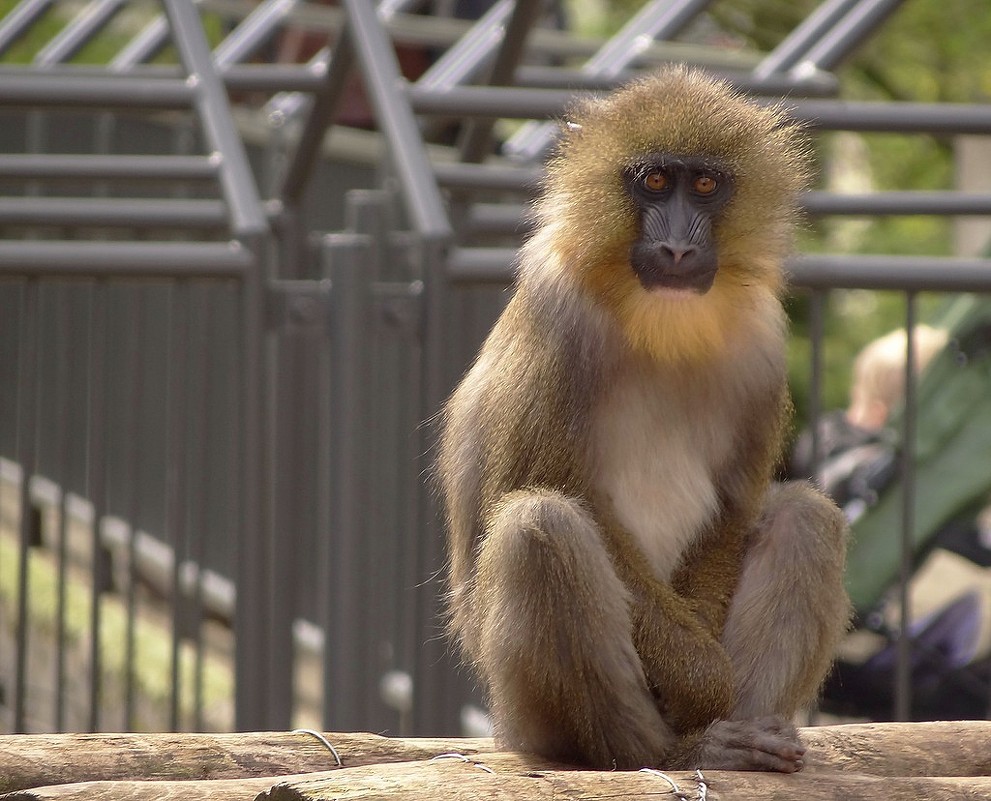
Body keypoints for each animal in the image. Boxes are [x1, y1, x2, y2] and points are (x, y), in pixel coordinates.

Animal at [438, 70, 848, 776]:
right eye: (654, 181)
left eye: (704, 184)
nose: (679, 245)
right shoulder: (558, 311)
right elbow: (527, 491)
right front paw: (702, 682)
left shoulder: (763, 339)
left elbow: (735, 506)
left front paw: (712, 685)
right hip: (528, 713)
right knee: (539, 526)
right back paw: (679, 750)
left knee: (807, 517)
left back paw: (741, 735)